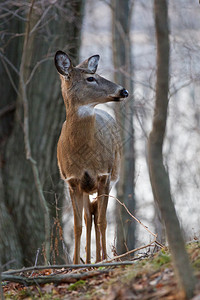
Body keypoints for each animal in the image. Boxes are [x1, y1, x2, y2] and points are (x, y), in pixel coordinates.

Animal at [54, 50, 128, 264]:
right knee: (89, 217)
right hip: (86, 187)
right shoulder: (72, 180)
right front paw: (76, 263)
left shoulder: (104, 175)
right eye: (90, 78)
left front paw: (103, 259)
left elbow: (103, 221)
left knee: (97, 217)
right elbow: (77, 225)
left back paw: (98, 259)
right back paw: (87, 261)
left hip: (110, 177)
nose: (124, 91)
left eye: (96, 74)